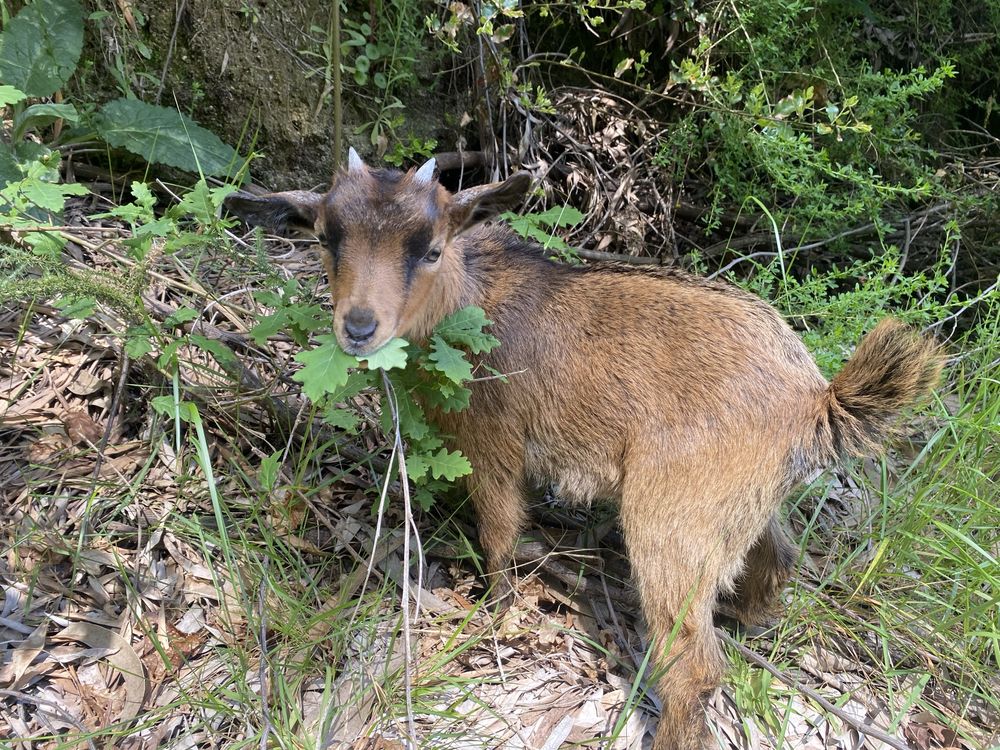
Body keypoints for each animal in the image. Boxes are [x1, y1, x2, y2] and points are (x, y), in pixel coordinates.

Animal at [223, 150, 940, 748]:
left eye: (430, 248)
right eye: (325, 237)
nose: (359, 327)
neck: (469, 296)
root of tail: (816, 396)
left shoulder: (494, 445)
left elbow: (499, 533)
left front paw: (495, 613)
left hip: (672, 517)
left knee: (694, 663)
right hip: (739, 502)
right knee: (778, 559)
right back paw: (744, 614)